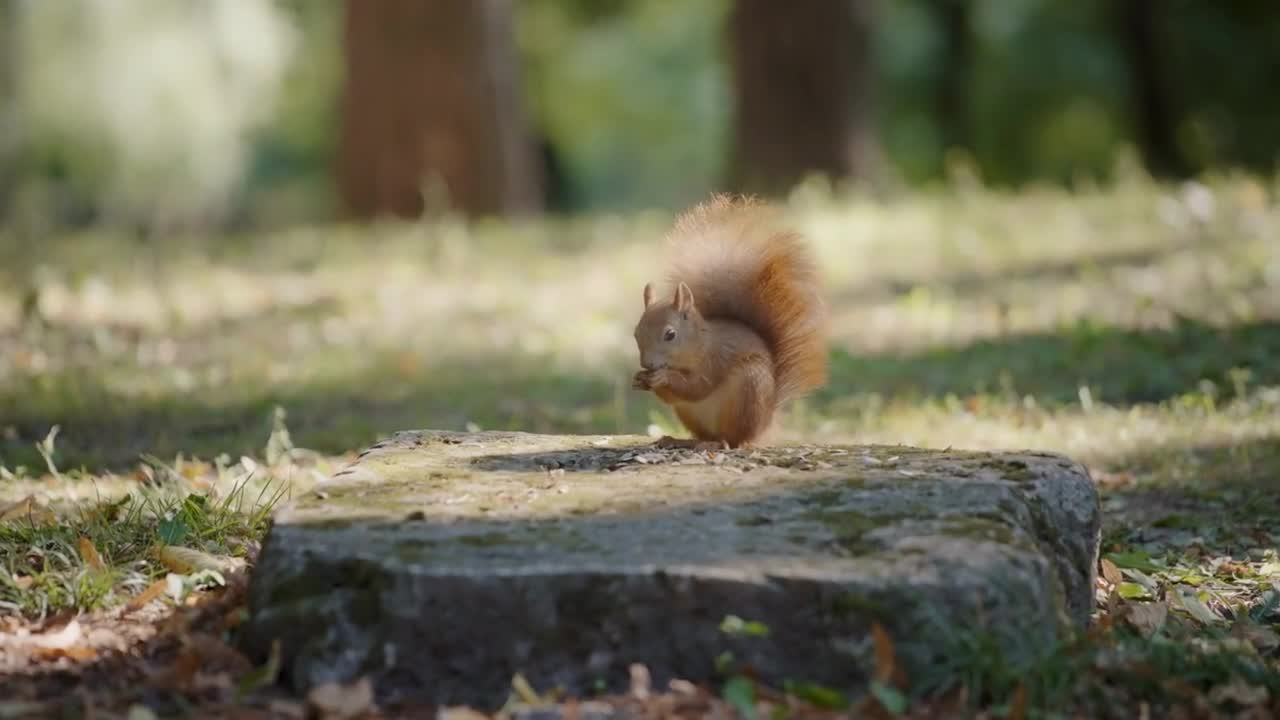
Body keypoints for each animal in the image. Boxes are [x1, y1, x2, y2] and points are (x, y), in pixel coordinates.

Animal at [629, 193, 829, 445]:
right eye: (636, 333)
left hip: (748, 391)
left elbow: (696, 387)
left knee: (734, 439)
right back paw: (683, 440)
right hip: (689, 413)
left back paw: (718, 443)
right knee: (703, 433)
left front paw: (662, 377)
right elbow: (674, 397)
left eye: (670, 334)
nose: (647, 364)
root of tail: (765, 422)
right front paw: (639, 379)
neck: (697, 346)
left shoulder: (714, 361)